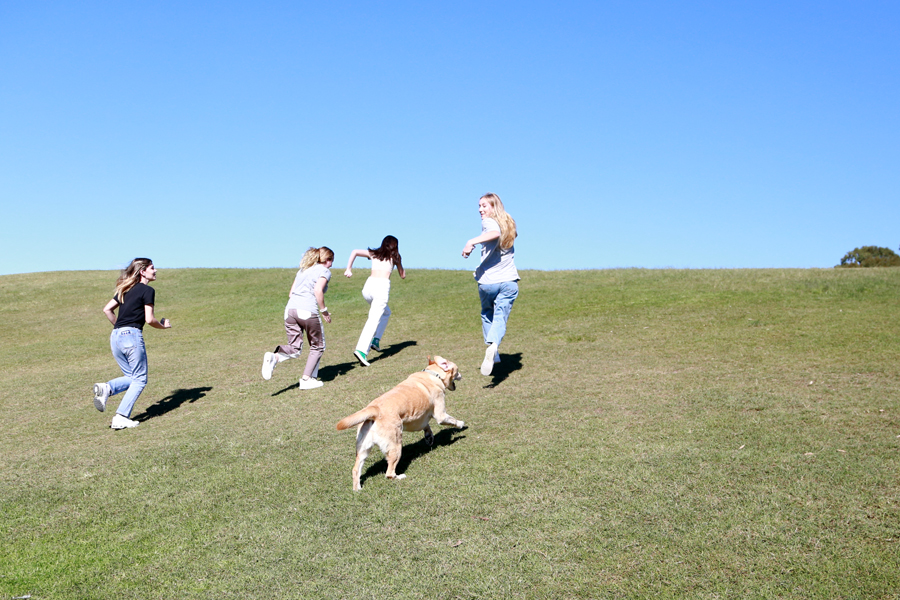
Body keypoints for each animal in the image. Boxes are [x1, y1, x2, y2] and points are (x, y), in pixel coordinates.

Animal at [336, 354, 468, 490]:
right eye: (457, 370)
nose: (461, 375)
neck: (433, 374)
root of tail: (374, 409)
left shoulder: (417, 419)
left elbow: (426, 426)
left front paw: (429, 437)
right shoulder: (440, 414)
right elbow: (451, 420)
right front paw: (461, 424)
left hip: (363, 449)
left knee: (355, 469)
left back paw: (357, 489)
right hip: (396, 446)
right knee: (389, 473)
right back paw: (400, 477)